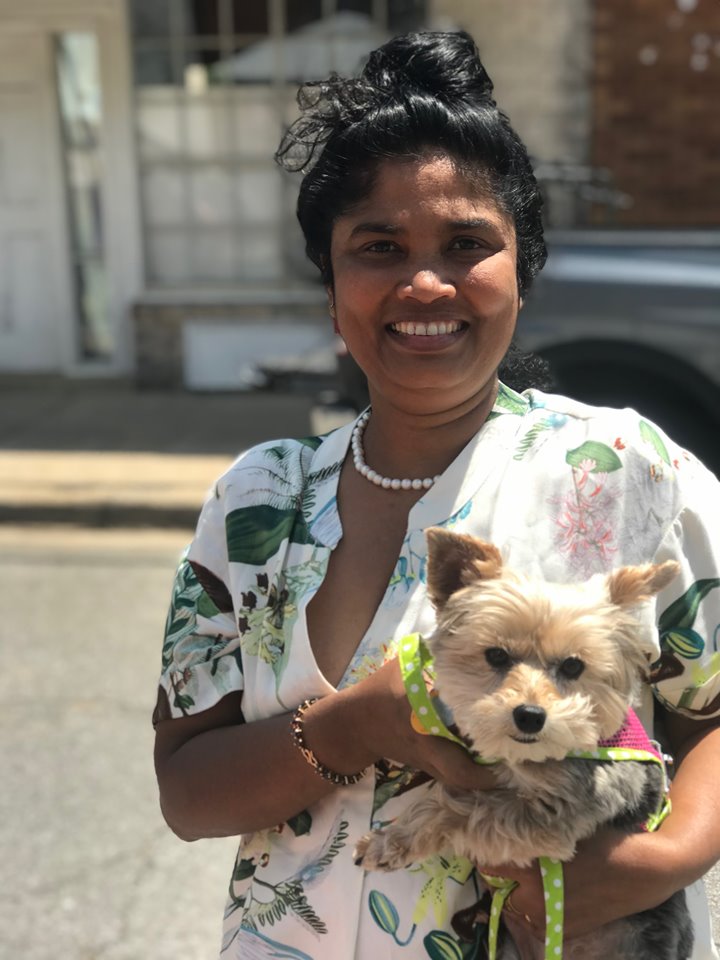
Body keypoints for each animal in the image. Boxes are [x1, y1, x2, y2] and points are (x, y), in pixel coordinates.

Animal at [354, 527, 693, 960]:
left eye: (573, 666)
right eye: (496, 656)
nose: (530, 715)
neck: (527, 757)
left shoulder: (565, 809)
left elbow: (460, 809)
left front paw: (386, 843)